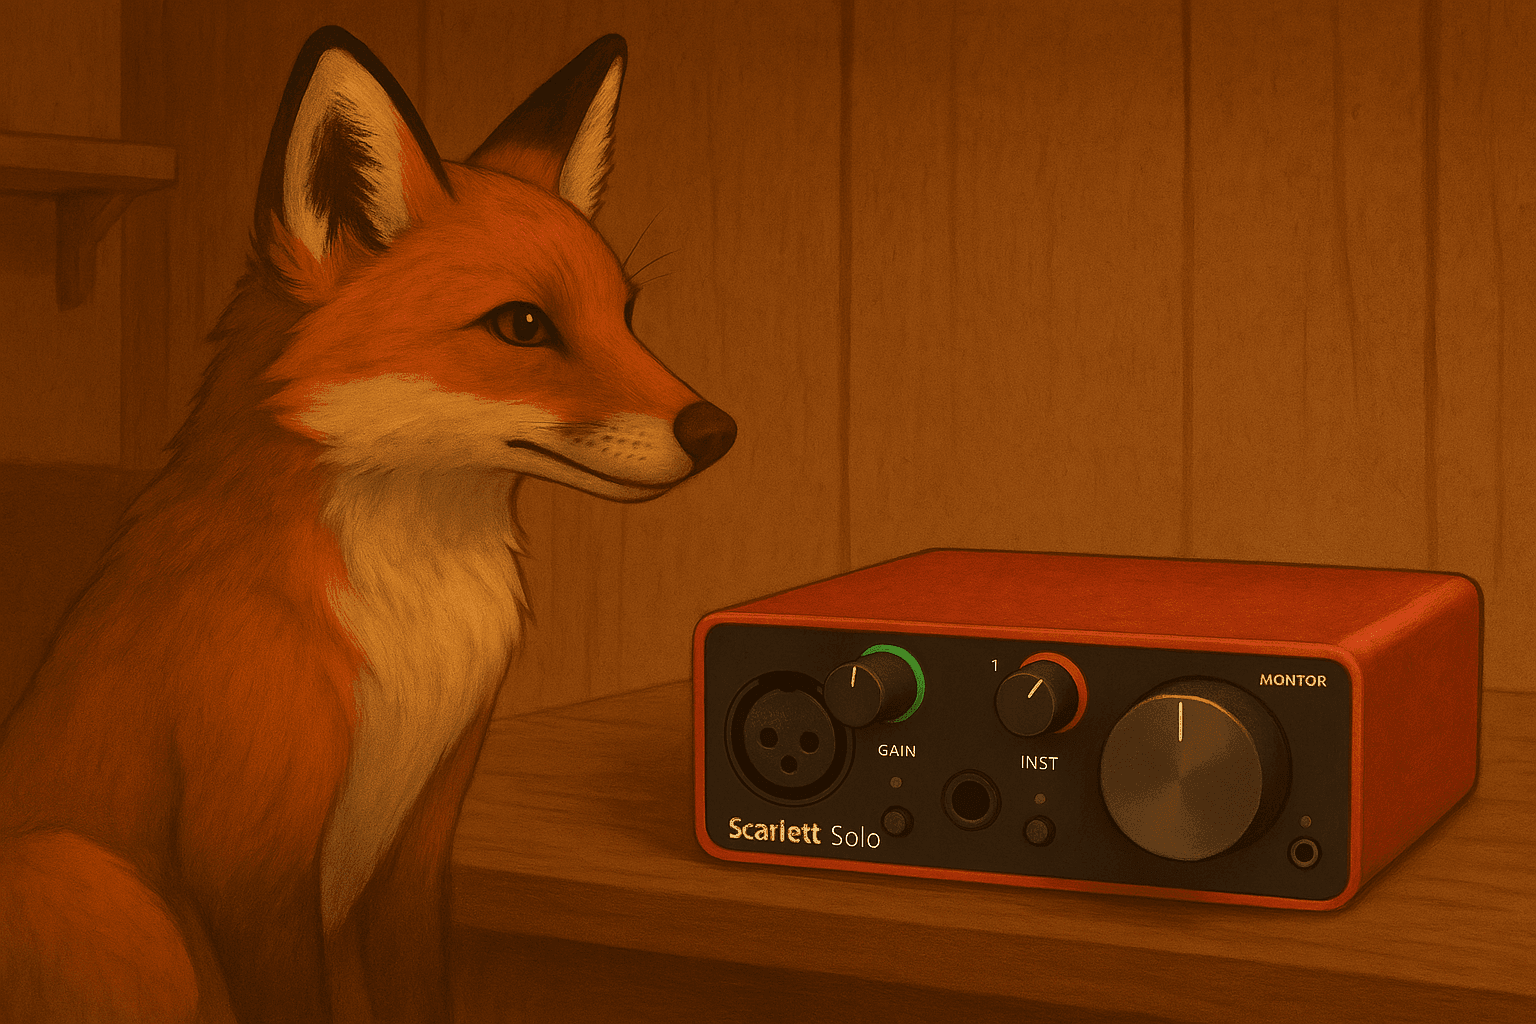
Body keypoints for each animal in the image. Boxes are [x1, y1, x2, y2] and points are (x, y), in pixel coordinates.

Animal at [0, 25, 734, 1024]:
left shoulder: (418, 846)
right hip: (100, 890)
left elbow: (421, 988)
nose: (717, 430)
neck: (411, 606)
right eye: (523, 324)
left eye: (625, 315)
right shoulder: (250, 862)